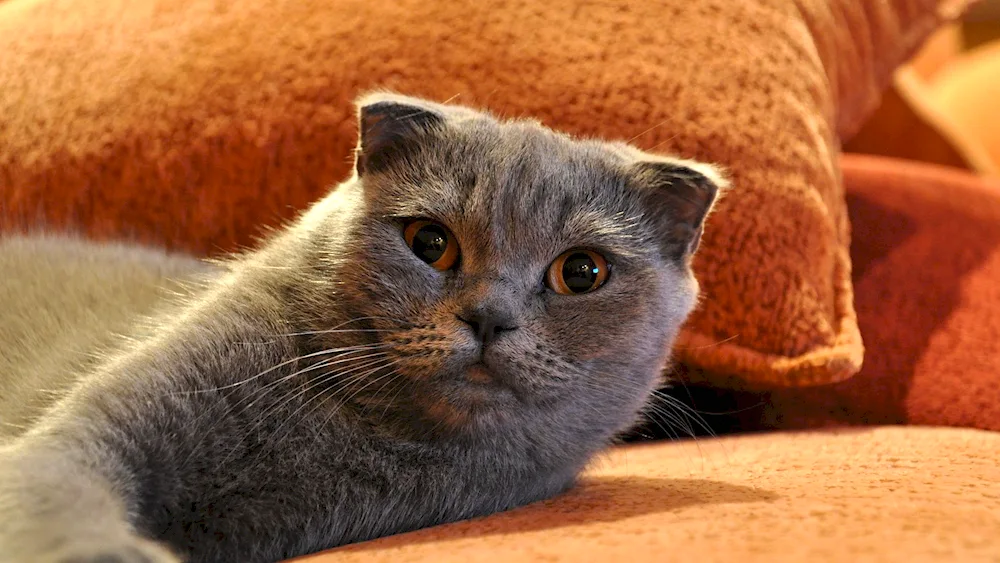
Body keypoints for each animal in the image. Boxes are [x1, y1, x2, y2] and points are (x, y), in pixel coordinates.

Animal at [0, 94, 724, 560]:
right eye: (429, 241)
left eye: (582, 272)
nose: (489, 316)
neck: (353, 432)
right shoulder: (106, 419)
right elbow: (56, 484)